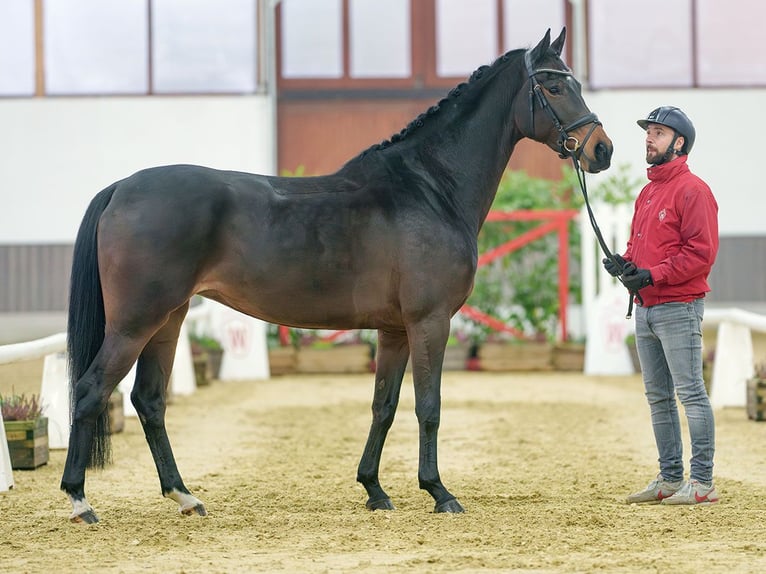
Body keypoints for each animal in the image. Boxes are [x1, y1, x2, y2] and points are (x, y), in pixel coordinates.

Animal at [60, 28, 616, 528]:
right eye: (553, 86)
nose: (602, 150)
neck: (429, 188)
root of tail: (121, 188)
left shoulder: (395, 331)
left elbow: (384, 406)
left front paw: (374, 489)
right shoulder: (430, 322)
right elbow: (429, 406)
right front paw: (439, 492)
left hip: (168, 319)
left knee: (149, 400)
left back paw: (185, 496)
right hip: (135, 322)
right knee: (90, 391)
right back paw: (80, 501)